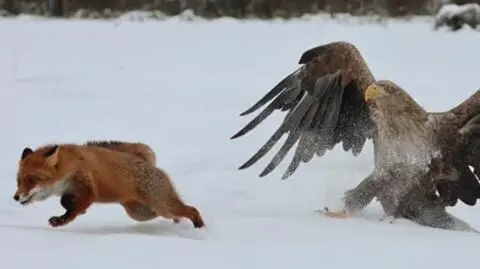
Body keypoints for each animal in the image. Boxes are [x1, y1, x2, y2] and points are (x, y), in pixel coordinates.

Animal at [13, 140, 204, 228]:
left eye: (31, 179)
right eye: (19, 180)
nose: (15, 197)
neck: (70, 166)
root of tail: (145, 160)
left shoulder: (88, 190)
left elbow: (73, 211)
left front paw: (62, 220)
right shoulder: (71, 190)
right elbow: (65, 201)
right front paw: (73, 209)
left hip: (162, 206)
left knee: (192, 210)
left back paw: (199, 229)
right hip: (141, 213)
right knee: (175, 214)